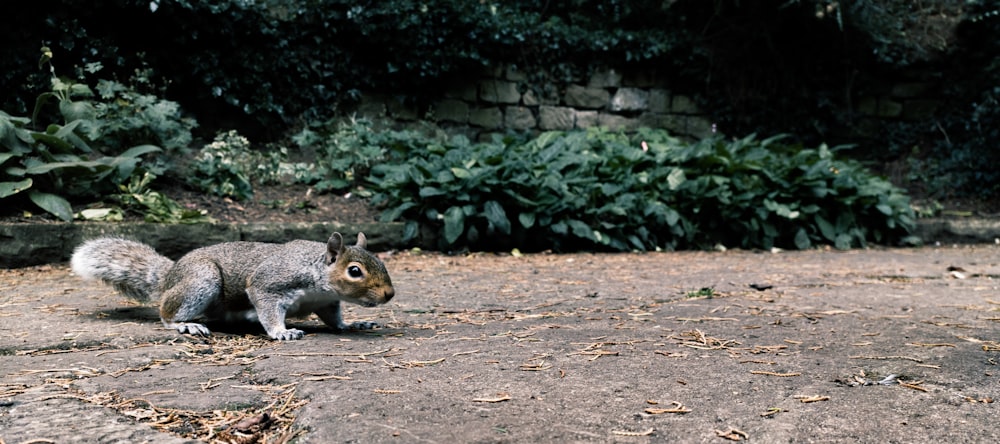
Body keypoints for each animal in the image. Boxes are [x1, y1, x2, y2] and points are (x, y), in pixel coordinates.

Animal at [70, 232, 394, 340]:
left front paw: (352, 325)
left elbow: (334, 319)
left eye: (381, 260)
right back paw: (185, 325)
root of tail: (171, 274)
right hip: (201, 280)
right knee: (166, 313)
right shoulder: (270, 284)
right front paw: (282, 331)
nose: (389, 294)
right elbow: (266, 307)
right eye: (354, 271)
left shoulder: (325, 302)